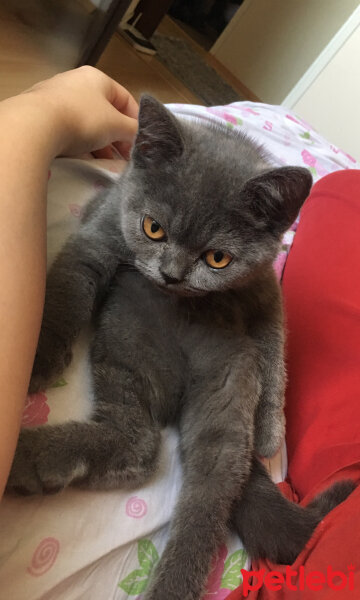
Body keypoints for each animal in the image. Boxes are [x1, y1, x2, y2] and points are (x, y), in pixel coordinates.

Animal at [7, 96, 352, 596]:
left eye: (217, 258)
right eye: (153, 229)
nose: (171, 275)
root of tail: (175, 397)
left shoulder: (263, 285)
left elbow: (275, 338)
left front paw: (270, 430)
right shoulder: (105, 226)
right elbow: (70, 285)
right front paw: (38, 358)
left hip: (225, 387)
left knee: (204, 490)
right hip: (126, 351)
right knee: (138, 446)